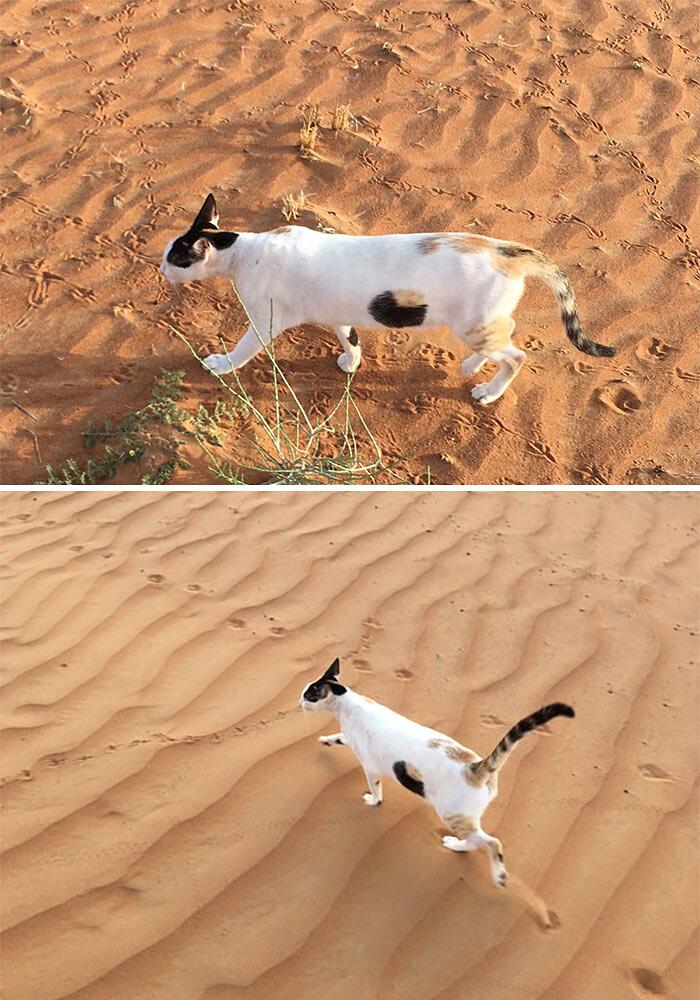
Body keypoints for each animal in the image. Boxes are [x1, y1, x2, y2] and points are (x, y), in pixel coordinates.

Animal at [161, 192, 616, 402]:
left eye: (175, 257)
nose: (160, 269)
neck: (245, 249)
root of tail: (507, 250)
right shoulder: (339, 314)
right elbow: (349, 337)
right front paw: (351, 362)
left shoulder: (264, 320)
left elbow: (242, 350)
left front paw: (221, 365)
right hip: (480, 323)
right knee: (506, 335)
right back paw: (473, 364)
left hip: (473, 324)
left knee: (517, 355)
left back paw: (488, 391)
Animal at [300, 660, 576, 888]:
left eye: (309, 694)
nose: (299, 702)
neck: (348, 703)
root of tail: (475, 767)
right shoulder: (350, 739)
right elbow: (338, 737)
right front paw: (325, 740)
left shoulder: (370, 766)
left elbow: (375, 790)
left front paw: (373, 800)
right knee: (477, 841)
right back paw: (459, 847)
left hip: (451, 814)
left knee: (490, 842)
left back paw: (495, 873)